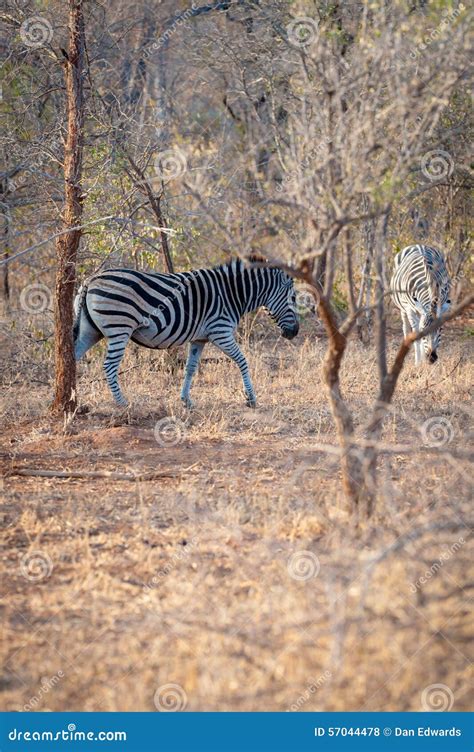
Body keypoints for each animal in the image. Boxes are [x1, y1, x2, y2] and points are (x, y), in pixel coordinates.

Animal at [72, 260, 298, 412]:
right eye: (294, 297)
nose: (294, 332)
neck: (232, 292)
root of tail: (91, 279)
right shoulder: (220, 330)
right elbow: (243, 361)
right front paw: (250, 398)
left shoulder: (200, 338)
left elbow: (190, 368)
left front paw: (186, 400)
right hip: (119, 327)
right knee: (109, 366)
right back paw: (122, 403)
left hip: (91, 331)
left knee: (71, 356)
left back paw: (73, 398)